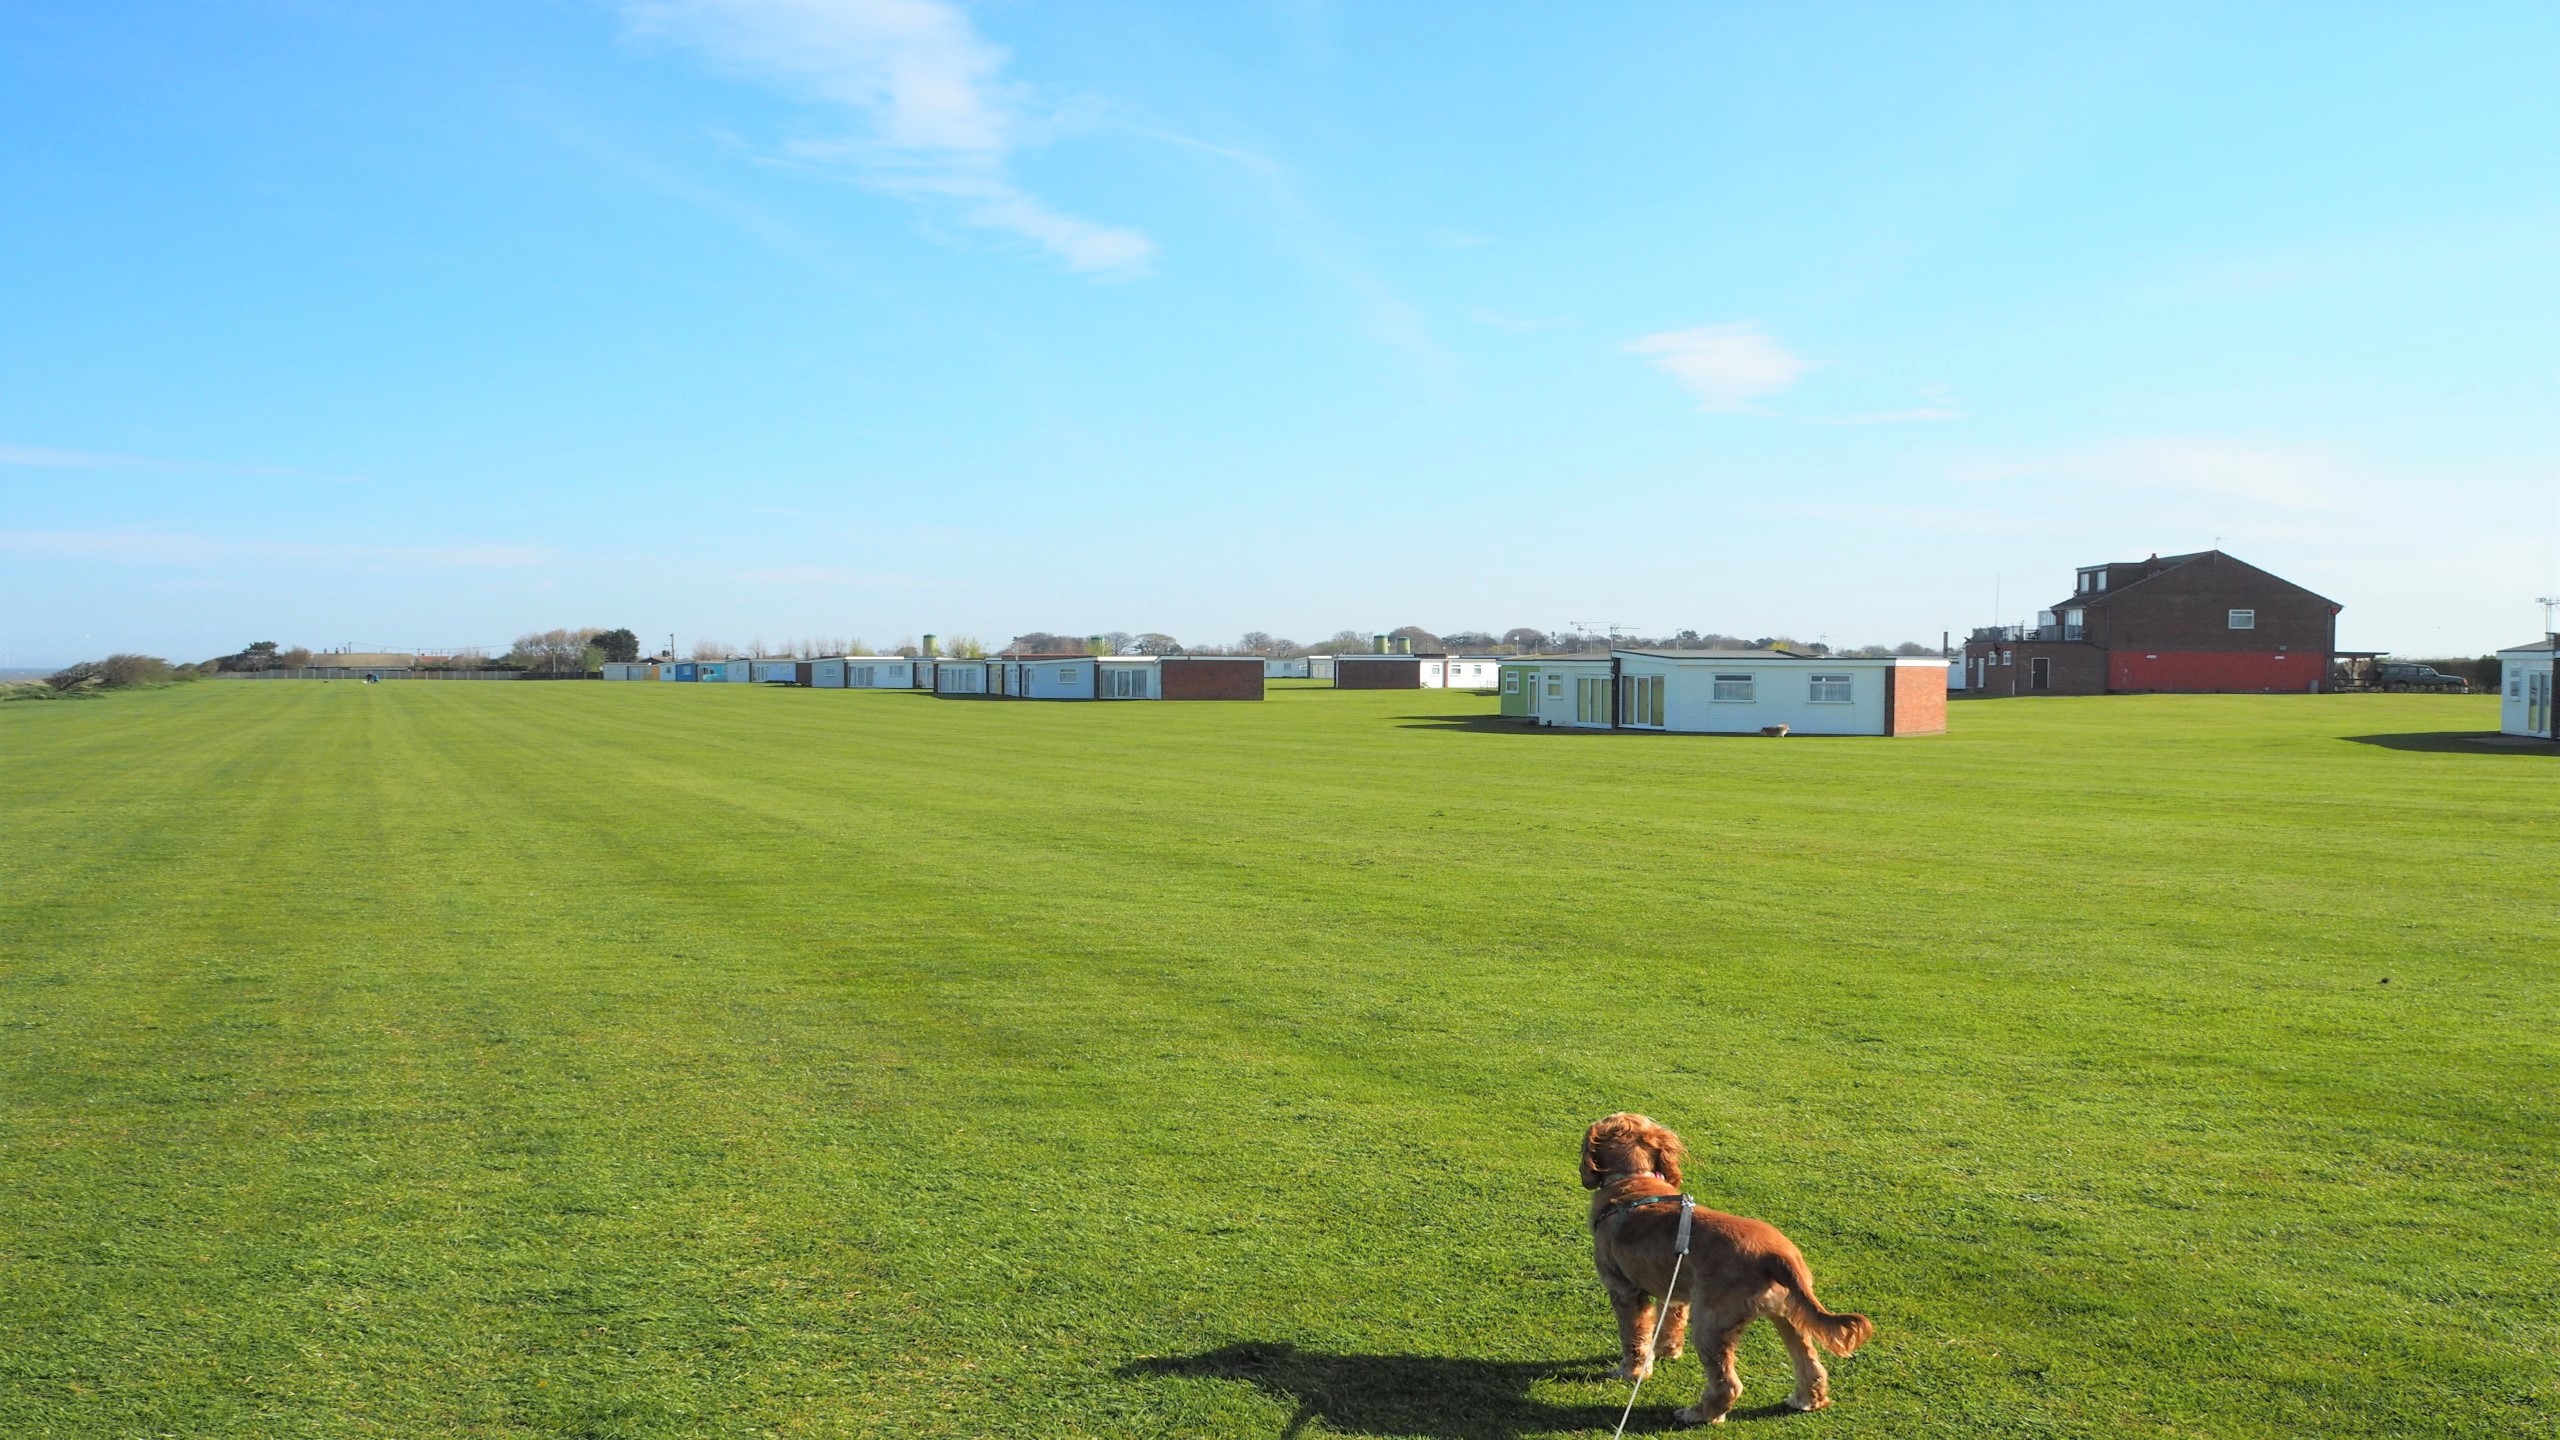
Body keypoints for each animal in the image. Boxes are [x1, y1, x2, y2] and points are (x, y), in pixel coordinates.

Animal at [1576, 1112, 1863, 1414]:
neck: (1632, 1182)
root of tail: (1776, 1256)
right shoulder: (1676, 1289)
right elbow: (1670, 1323)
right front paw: (1667, 1351)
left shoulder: (1624, 1290)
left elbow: (1634, 1336)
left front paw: (1630, 1372)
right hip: (1788, 1312)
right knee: (1810, 1363)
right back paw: (1806, 1399)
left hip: (1711, 1322)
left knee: (1727, 1384)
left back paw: (1697, 1414)